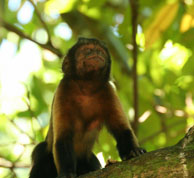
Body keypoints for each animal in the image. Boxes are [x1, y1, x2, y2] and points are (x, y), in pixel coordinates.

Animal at [29, 37, 146, 178]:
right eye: (87, 50)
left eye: (100, 51)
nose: (96, 52)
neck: (86, 88)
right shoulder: (63, 89)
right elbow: (63, 138)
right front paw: (67, 173)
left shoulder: (108, 91)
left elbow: (122, 129)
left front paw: (133, 151)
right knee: (40, 151)